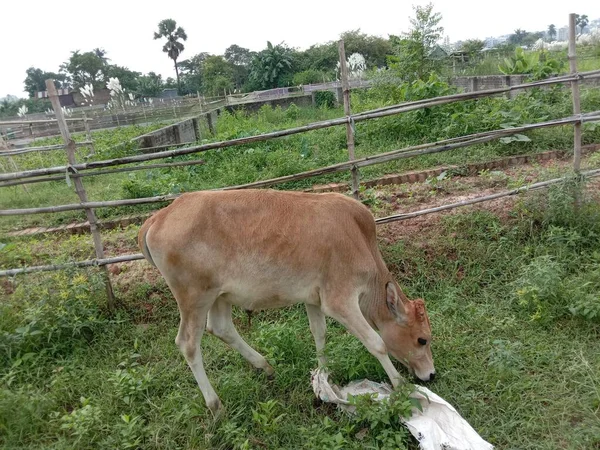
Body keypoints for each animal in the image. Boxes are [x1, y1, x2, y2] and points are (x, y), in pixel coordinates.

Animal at [138, 188, 434, 414]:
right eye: (422, 339)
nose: (431, 374)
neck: (359, 237)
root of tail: (160, 215)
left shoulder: (314, 298)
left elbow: (319, 333)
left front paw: (324, 376)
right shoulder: (339, 300)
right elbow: (377, 343)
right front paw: (400, 385)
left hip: (218, 295)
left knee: (221, 328)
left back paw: (265, 366)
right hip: (194, 297)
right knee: (188, 344)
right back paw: (215, 405)